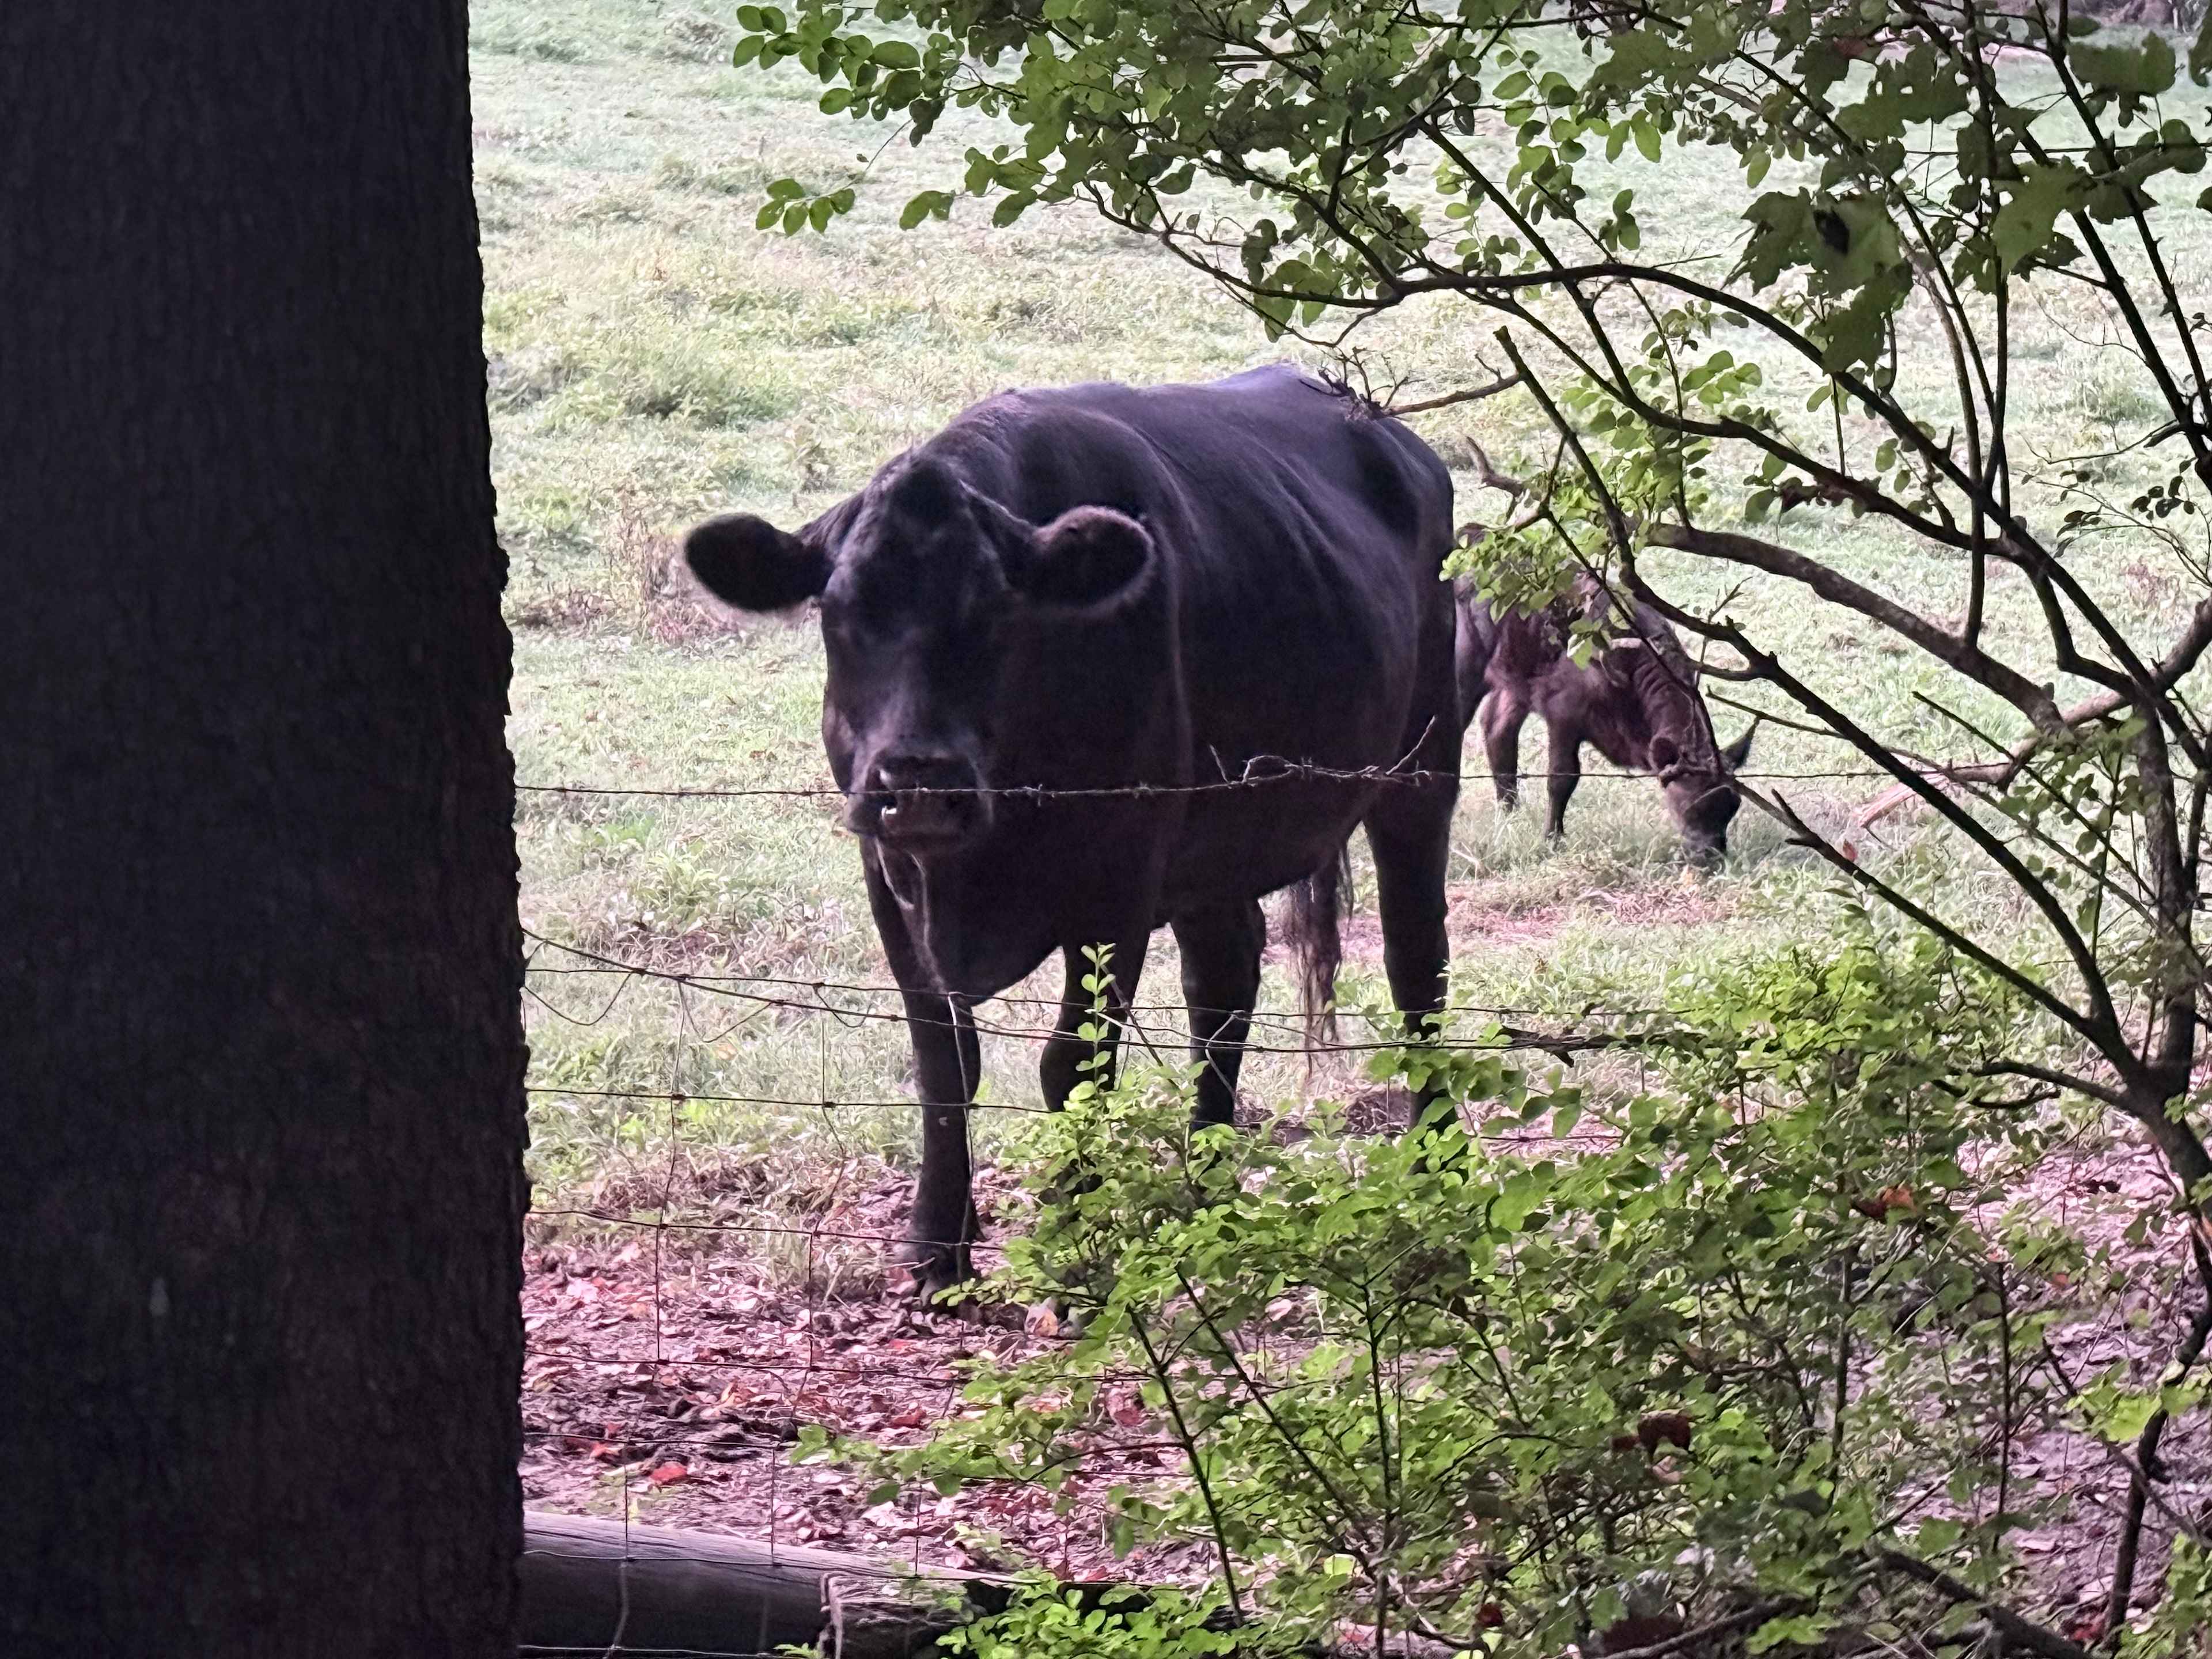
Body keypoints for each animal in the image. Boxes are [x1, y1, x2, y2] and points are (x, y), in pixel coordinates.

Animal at [682, 366, 1463, 1296]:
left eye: (997, 616)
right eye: (838, 614)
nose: (919, 786)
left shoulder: (1117, 880)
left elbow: (1072, 1065)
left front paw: (1078, 1242)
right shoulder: (887, 873)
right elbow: (945, 1060)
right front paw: (936, 1247)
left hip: (1421, 771)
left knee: (1416, 967)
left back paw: (1437, 1164)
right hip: (1215, 844)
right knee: (1224, 980)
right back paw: (1207, 1178)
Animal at [1454, 576, 1753, 866]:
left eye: (1733, 806)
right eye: (1693, 805)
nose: (1710, 856)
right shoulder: (1564, 714)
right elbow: (1562, 778)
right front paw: (1552, 839)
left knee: (1496, 728)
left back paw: (1509, 813)